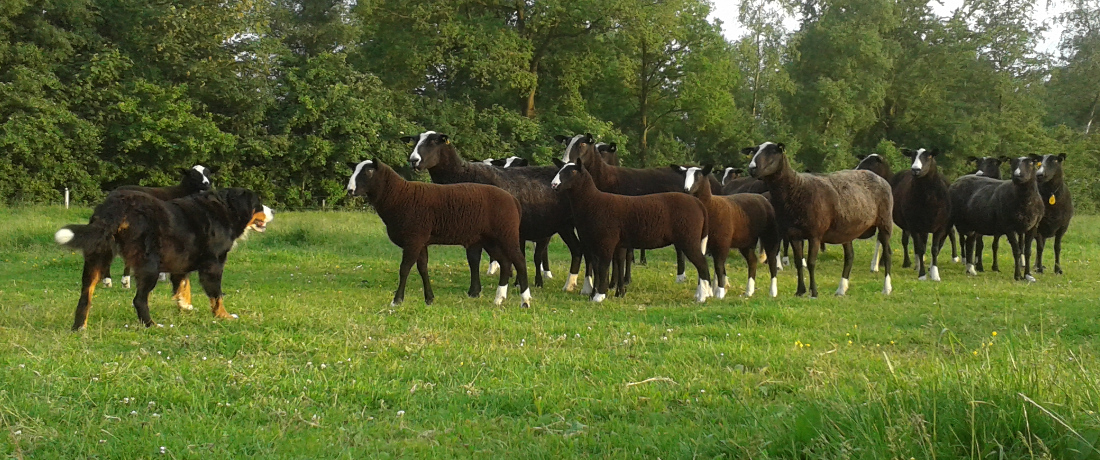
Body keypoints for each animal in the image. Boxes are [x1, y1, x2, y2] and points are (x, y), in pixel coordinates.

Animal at [54, 187, 271, 330]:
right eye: (258, 204)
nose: (273, 211)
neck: (226, 210)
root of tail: (117, 204)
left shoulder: (182, 260)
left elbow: (183, 284)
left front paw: (185, 305)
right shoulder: (214, 263)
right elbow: (216, 294)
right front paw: (224, 316)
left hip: (97, 257)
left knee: (85, 296)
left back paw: (79, 327)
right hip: (149, 265)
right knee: (139, 300)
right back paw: (152, 325)